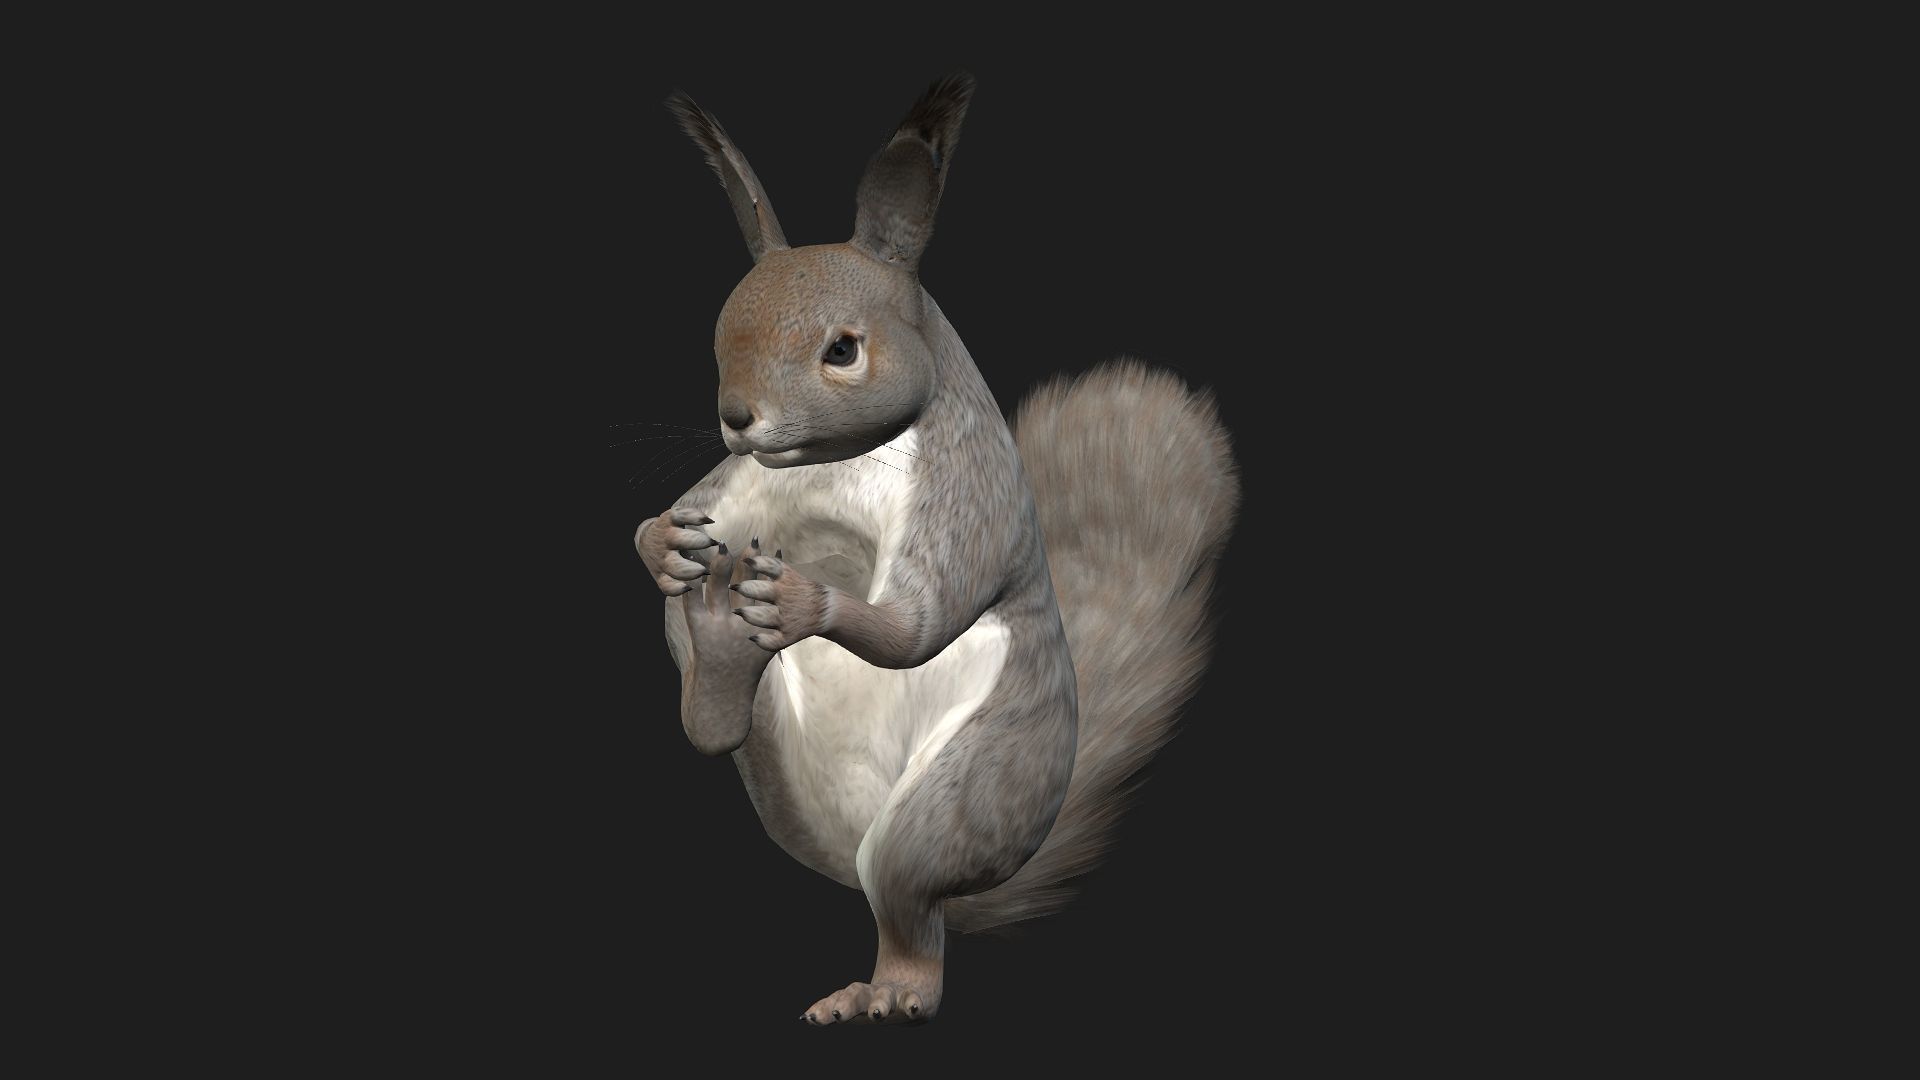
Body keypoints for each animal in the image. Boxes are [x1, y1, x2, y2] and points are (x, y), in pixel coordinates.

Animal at [635, 73, 1239, 1026]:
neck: (838, 461)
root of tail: (854, 846)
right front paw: (661, 542)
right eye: (720, 333)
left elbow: (915, 623)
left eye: (843, 349)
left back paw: (888, 992)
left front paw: (806, 603)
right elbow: (678, 518)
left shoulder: (967, 494)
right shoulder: (737, 485)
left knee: (913, 913)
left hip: (973, 785)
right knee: (719, 728)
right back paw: (720, 649)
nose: (738, 417)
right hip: (773, 760)